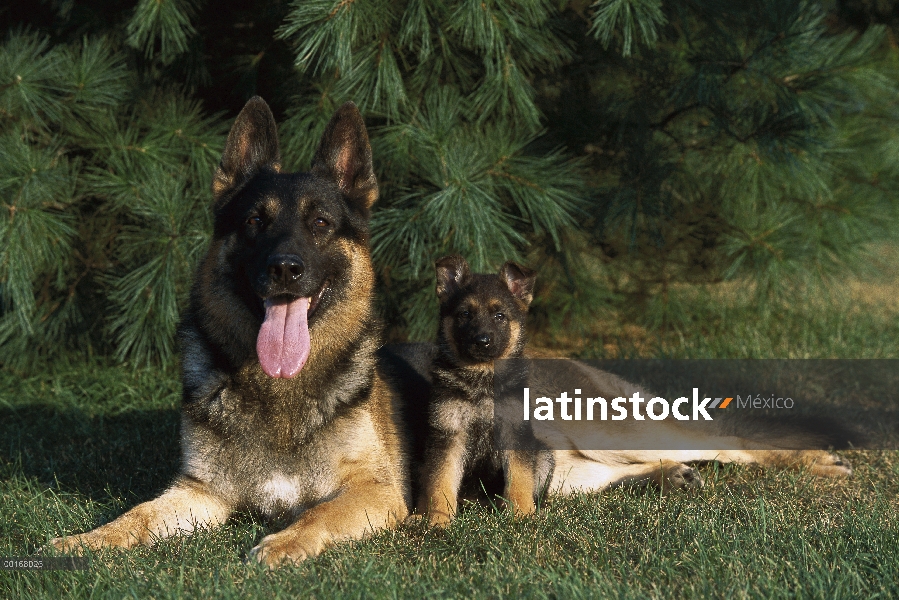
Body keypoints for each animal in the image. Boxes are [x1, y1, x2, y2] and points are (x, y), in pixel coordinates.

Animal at [51, 96, 410, 564]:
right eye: (255, 221)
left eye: (320, 224)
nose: (284, 269)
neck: (277, 387)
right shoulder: (200, 492)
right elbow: (139, 514)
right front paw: (89, 539)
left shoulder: (376, 492)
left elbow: (319, 514)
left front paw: (284, 542)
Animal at [412, 255, 552, 528]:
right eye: (465, 314)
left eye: (499, 315)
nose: (482, 341)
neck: (482, 378)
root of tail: (476, 504)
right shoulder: (448, 434)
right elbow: (441, 482)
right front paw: (439, 520)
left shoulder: (515, 431)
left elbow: (520, 478)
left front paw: (522, 514)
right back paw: (420, 516)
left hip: (544, 455)